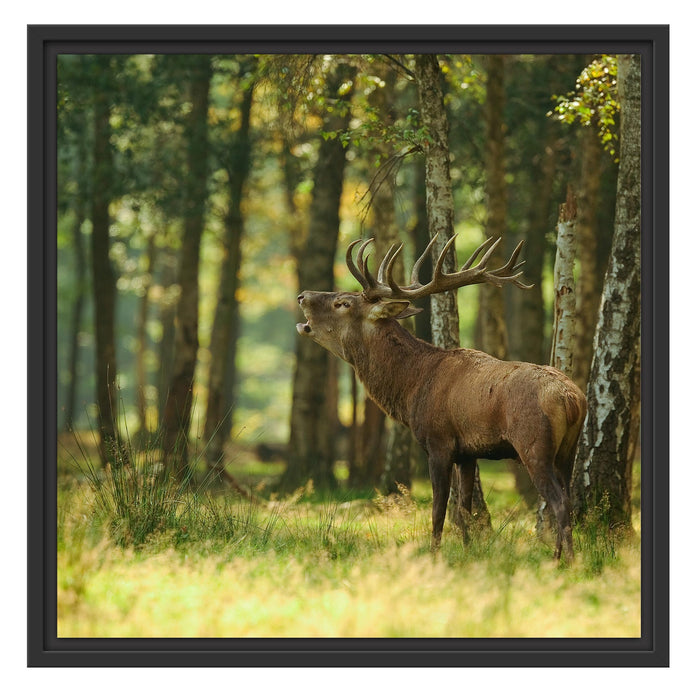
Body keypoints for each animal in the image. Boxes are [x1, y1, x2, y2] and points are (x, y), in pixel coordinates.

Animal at [296, 234, 587, 562]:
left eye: (343, 303)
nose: (302, 295)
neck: (411, 389)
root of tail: (572, 399)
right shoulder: (468, 453)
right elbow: (463, 510)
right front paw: (468, 551)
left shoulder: (438, 442)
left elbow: (438, 510)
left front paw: (434, 555)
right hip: (568, 450)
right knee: (568, 499)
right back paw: (560, 555)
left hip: (534, 445)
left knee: (559, 501)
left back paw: (565, 560)